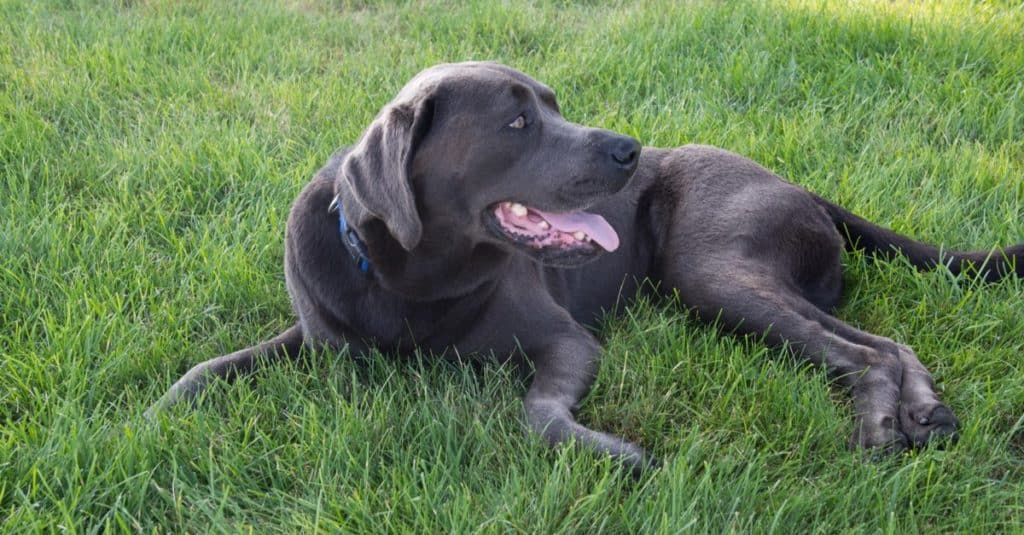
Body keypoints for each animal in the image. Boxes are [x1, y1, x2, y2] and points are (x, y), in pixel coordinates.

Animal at [151, 62, 1024, 471]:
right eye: (516, 121)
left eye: (555, 104)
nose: (629, 149)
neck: (407, 277)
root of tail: (801, 185)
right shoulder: (318, 338)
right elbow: (208, 366)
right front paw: (153, 415)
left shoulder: (568, 340)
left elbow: (537, 412)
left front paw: (614, 452)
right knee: (888, 342)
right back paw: (924, 413)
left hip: (714, 271)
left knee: (861, 349)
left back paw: (882, 423)